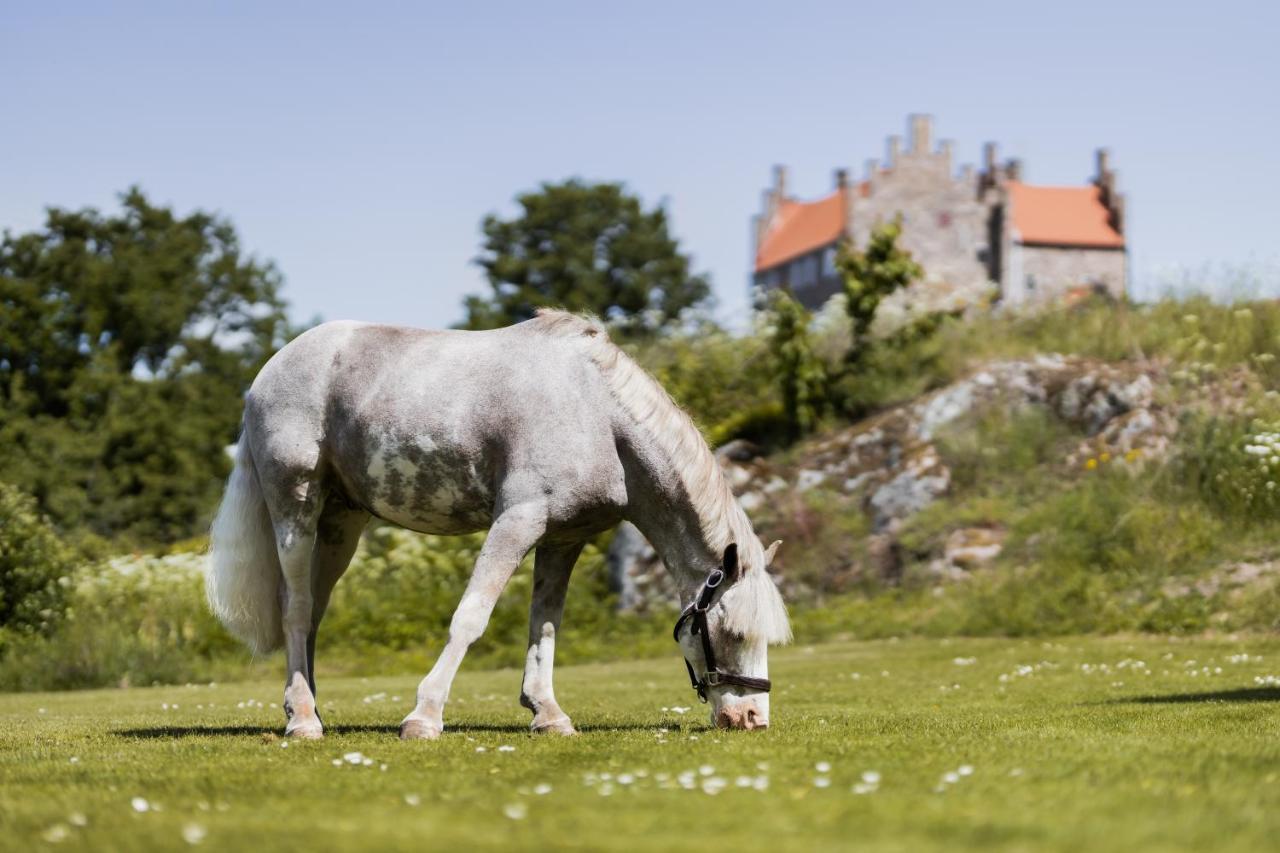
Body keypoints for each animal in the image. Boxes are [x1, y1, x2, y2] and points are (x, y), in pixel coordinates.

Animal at [207, 308, 788, 732]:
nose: (751, 718)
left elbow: (545, 625)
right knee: (296, 608)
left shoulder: (563, 539)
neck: (596, 414)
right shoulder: (518, 520)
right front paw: (424, 716)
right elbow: (471, 618)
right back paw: (304, 721)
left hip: (339, 527)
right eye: (734, 631)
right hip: (295, 509)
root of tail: (269, 372)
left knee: (312, 614)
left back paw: (305, 706)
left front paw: (548, 714)